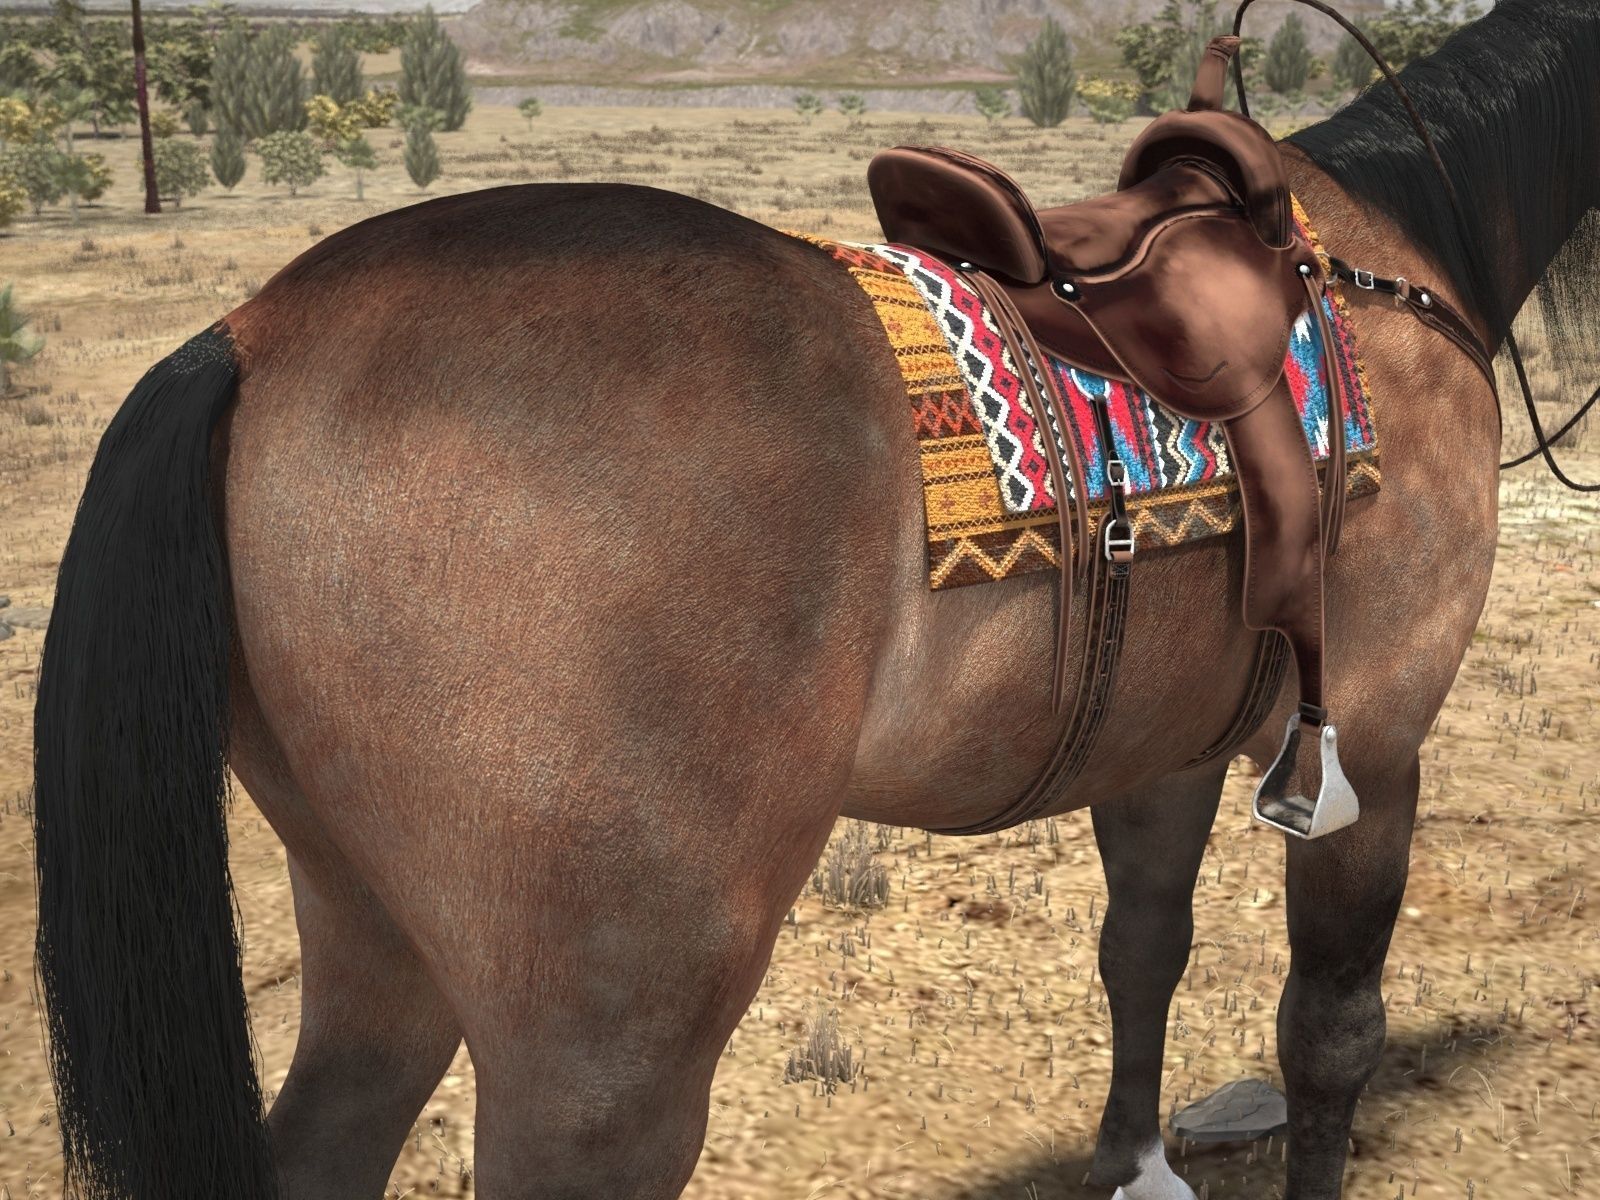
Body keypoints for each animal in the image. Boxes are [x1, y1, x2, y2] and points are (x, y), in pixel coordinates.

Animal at [30, 2, 1598, 1198]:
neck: (1390, 257)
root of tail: (248, 338)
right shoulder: (1375, 740)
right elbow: (1329, 1033)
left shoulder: (1164, 747)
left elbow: (1141, 952)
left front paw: (1135, 1164)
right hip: (603, 1043)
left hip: (372, 930)